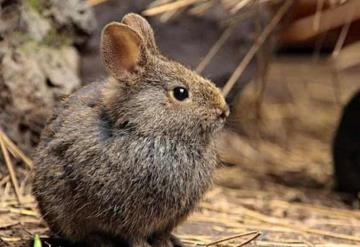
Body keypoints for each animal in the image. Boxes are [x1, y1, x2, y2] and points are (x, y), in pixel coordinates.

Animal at [31, 13, 228, 247]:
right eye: (180, 93)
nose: (223, 111)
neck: (147, 130)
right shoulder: (130, 218)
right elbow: (135, 237)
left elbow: (162, 235)